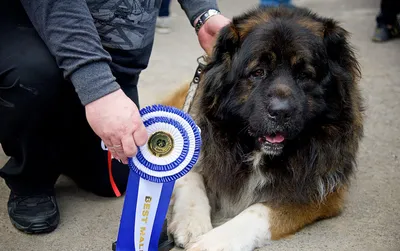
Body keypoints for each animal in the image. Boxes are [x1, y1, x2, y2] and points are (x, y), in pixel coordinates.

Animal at [161, 5, 364, 251]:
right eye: (258, 72)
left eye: (305, 75)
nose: (280, 112)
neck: (256, 153)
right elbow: (189, 176)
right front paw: (191, 222)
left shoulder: (318, 191)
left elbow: (258, 212)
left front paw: (211, 242)